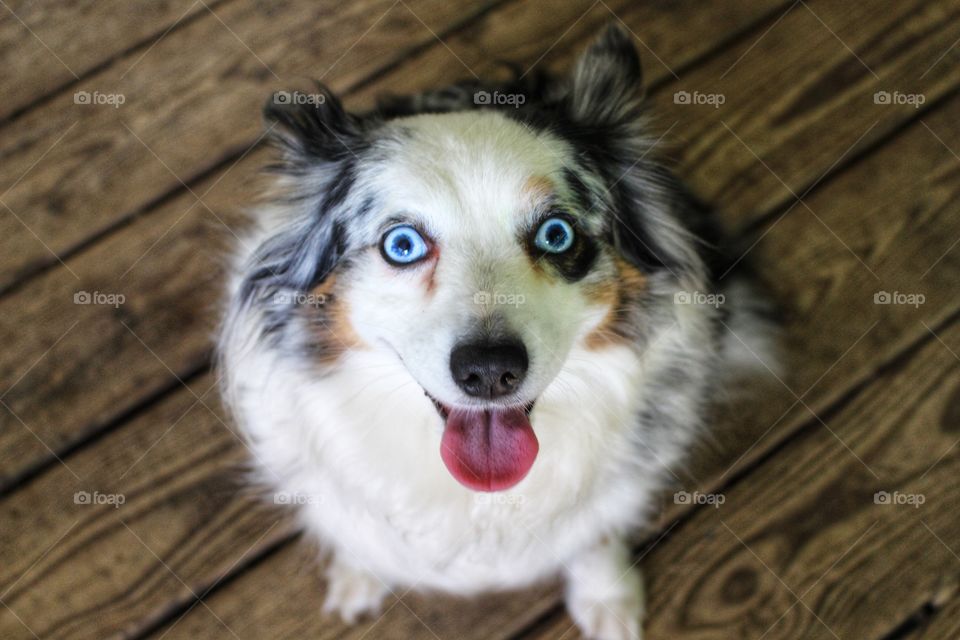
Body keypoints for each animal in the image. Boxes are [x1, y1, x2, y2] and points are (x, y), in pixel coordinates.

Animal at [218, 22, 772, 636]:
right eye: (402, 244)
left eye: (556, 234)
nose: (489, 371)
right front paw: (357, 573)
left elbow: (594, 533)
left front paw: (607, 597)